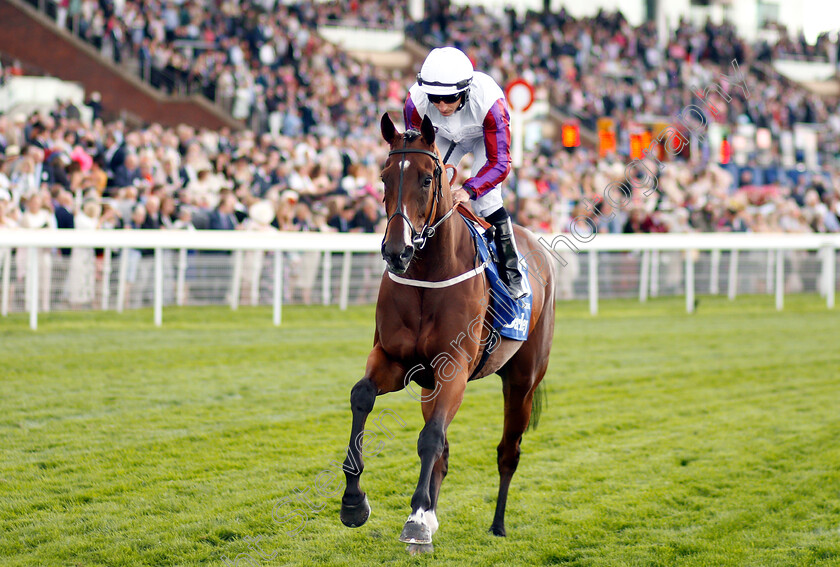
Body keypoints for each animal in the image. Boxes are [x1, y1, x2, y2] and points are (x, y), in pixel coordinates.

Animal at [338, 113, 556, 552]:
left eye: (427, 178)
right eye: (384, 177)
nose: (397, 251)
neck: (428, 275)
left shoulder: (454, 367)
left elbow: (430, 438)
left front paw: (416, 520)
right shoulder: (395, 360)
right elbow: (362, 396)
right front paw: (354, 501)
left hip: (522, 381)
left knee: (508, 451)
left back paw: (497, 524)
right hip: (430, 385)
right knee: (444, 451)